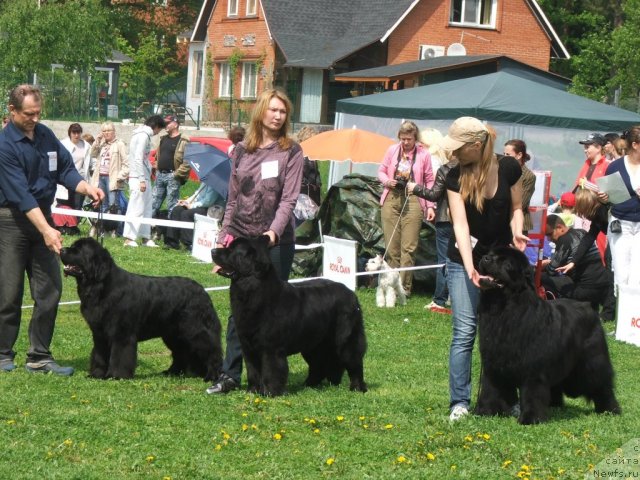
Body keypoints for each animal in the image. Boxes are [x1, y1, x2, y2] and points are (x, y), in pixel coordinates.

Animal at [62, 238, 222, 380]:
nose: (62, 249)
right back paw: (172, 372)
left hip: (195, 331)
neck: (99, 287)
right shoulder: (99, 333)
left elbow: (119, 355)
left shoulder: (122, 333)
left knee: (212, 351)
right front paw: (96, 374)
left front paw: (116, 375)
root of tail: (203, 291)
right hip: (173, 334)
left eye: (78, 250)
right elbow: (99, 355)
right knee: (181, 353)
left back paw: (212, 376)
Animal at [212, 236, 368, 398]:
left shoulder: (271, 349)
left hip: (346, 339)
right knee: (319, 365)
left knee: (354, 362)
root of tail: (351, 294)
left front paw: (270, 393)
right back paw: (309, 385)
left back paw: (357, 388)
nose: (213, 250)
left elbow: (271, 371)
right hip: (313, 343)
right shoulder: (248, 348)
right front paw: (252, 392)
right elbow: (253, 371)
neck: (252, 290)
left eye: (233, 250)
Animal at [476, 248, 620, 424]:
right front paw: (485, 412)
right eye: (491, 254)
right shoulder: (492, 363)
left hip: (591, 362)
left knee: (601, 384)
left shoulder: (533, 369)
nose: (485, 258)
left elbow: (531, 393)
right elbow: (490, 389)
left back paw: (610, 409)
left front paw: (530, 418)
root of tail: (589, 306)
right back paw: (554, 405)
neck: (504, 310)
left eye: (507, 263)